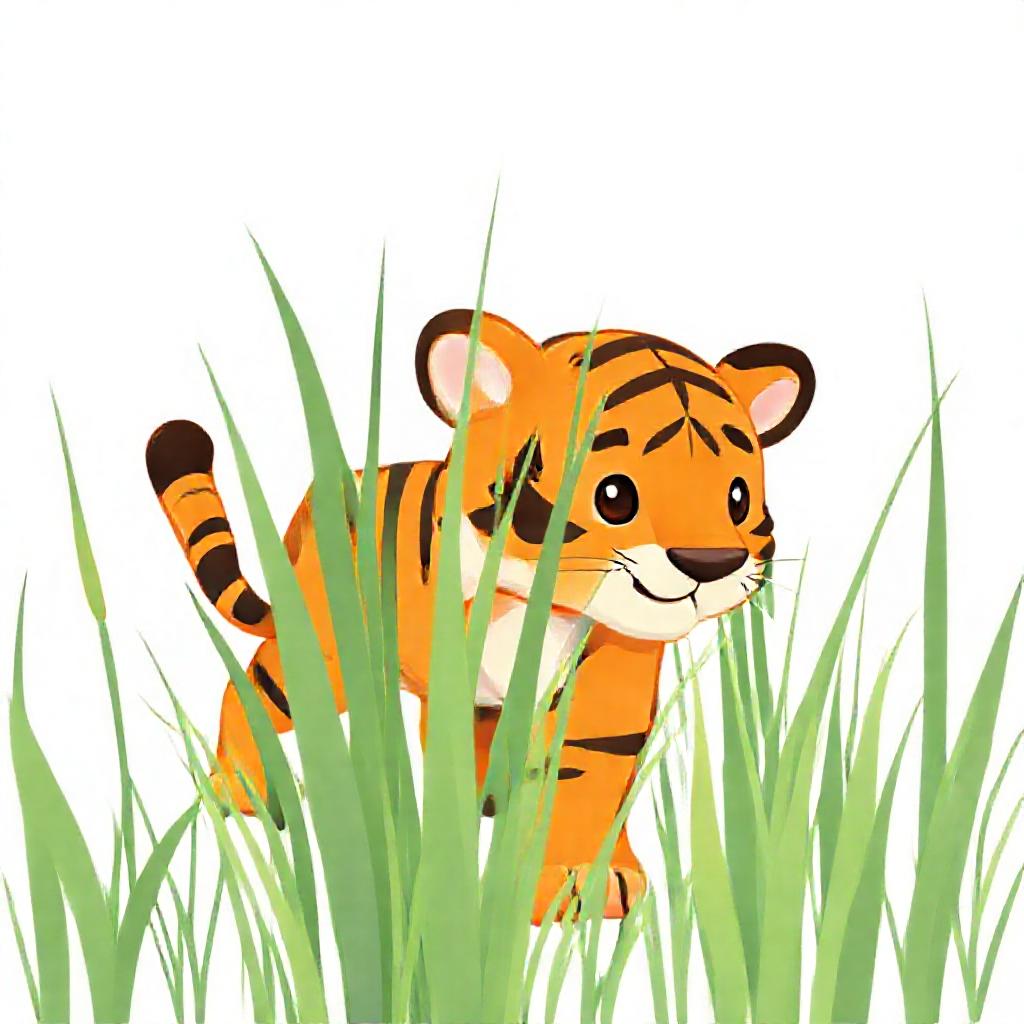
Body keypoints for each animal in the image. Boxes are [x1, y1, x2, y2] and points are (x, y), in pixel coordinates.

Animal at [145, 309, 814, 923]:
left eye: (736, 497)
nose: (711, 562)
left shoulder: (611, 681)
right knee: (256, 686)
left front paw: (589, 877)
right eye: (614, 496)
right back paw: (244, 791)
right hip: (326, 647)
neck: (545, 602)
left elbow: (589, 778)